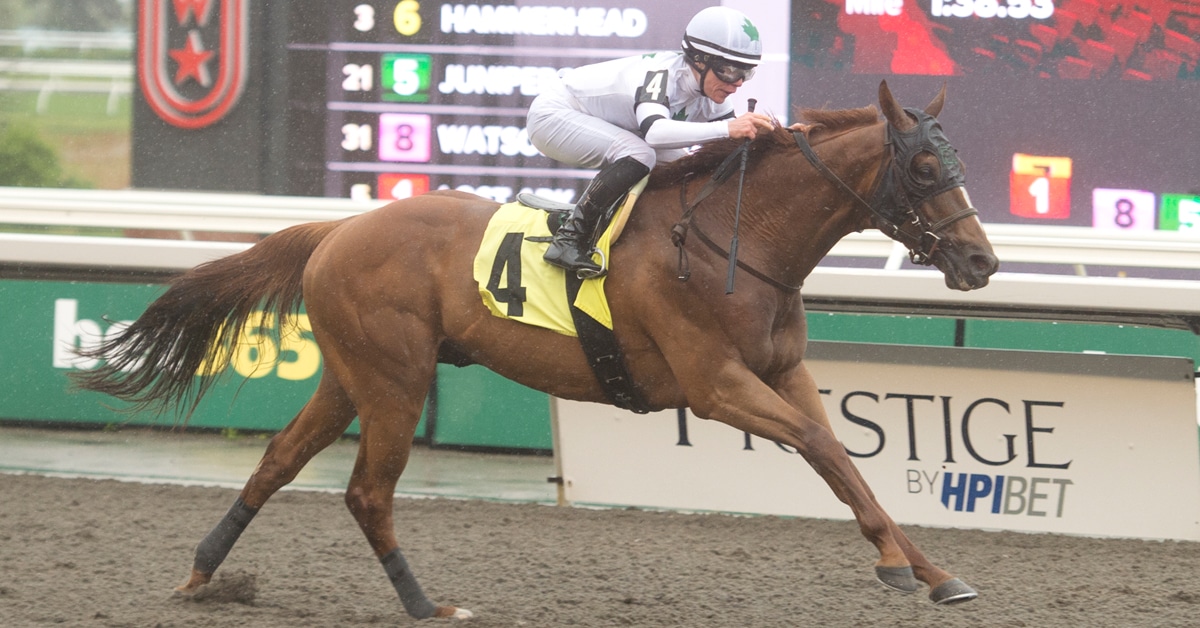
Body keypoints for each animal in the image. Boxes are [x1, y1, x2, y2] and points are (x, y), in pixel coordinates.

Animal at [75, 81, 998, 620]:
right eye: (924, 168)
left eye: (956, 161)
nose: (982, 262)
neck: (739, 237)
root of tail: (337, 229)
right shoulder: (714, 383)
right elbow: (818, 449)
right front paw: (899, 567)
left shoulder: (783, 373)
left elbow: (844, 462)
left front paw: (932, 571)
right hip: (396, 379)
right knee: (367, 492)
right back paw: (426, 605)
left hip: (349, 377)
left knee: (276, 462)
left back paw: (204, 576)